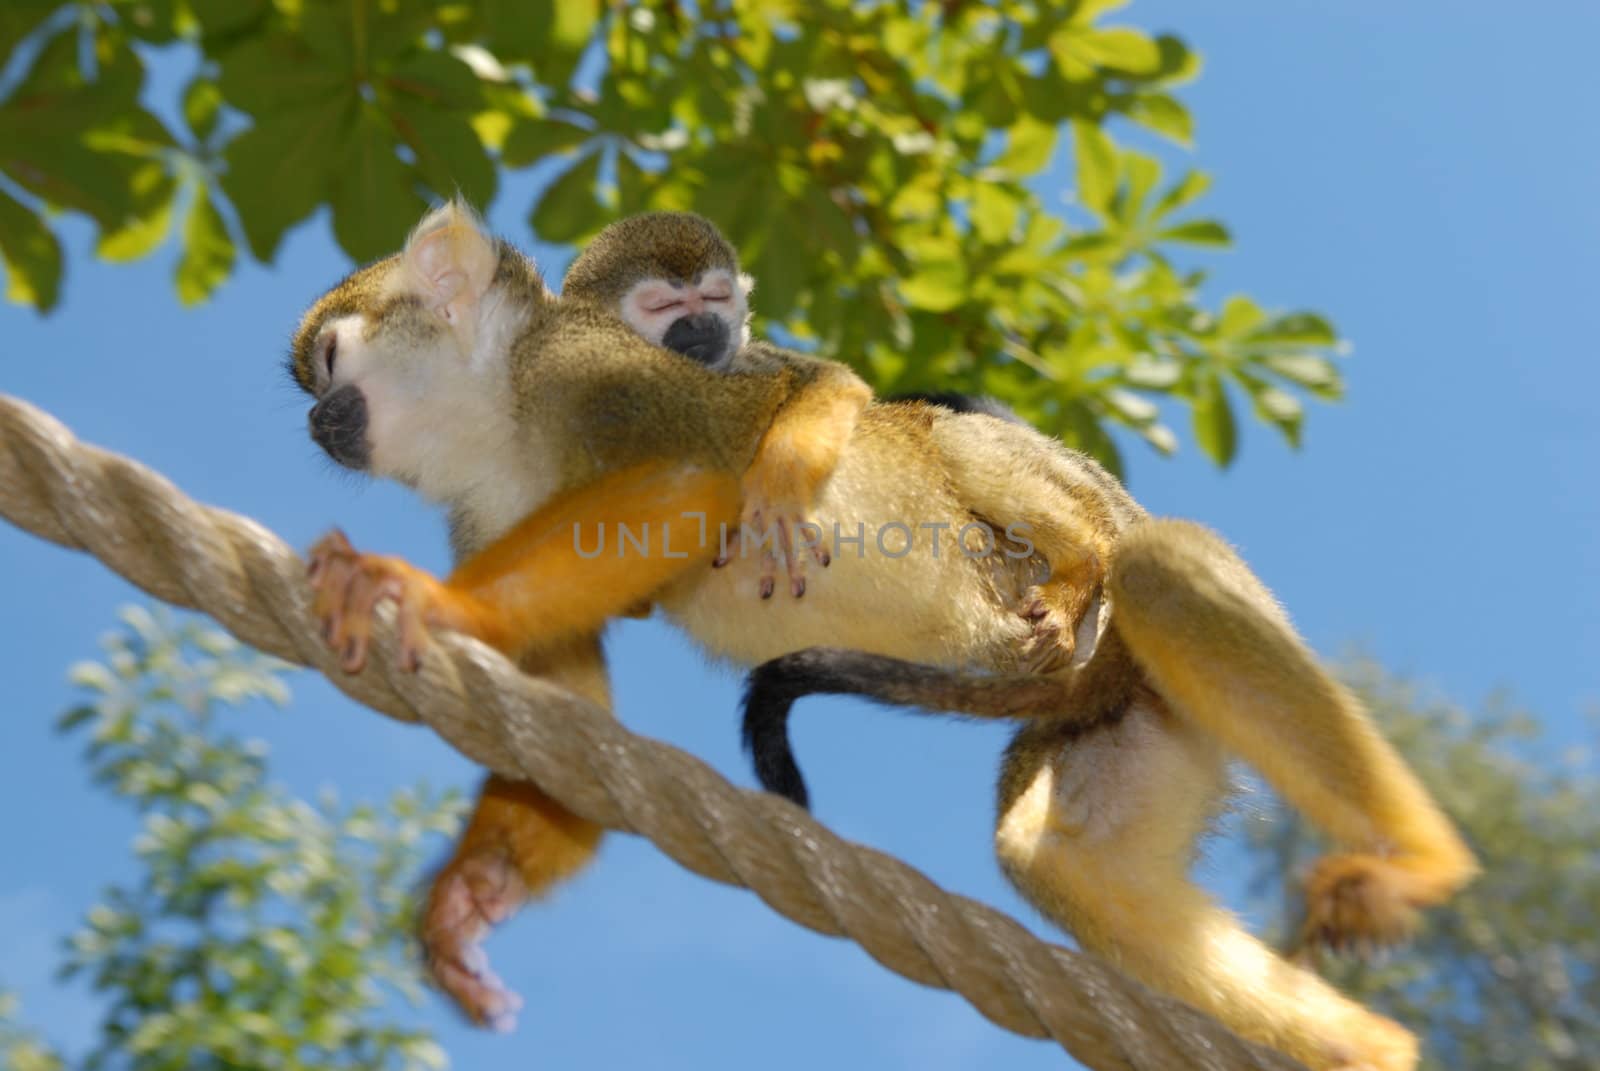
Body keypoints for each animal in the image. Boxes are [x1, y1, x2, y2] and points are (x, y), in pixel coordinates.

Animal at [291, 202, 1472, 1069]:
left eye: (333, 365)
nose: (313, 420)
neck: (500, 419)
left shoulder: (584, 369)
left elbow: (692, 478)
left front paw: (434, 603)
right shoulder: (484, 507)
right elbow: (571, 720)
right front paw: (473, 898)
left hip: (1099, 589)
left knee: (1146, 562)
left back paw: (1416, 863)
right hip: (1129, 705)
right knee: (1065, 857)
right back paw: (1371, 1047)